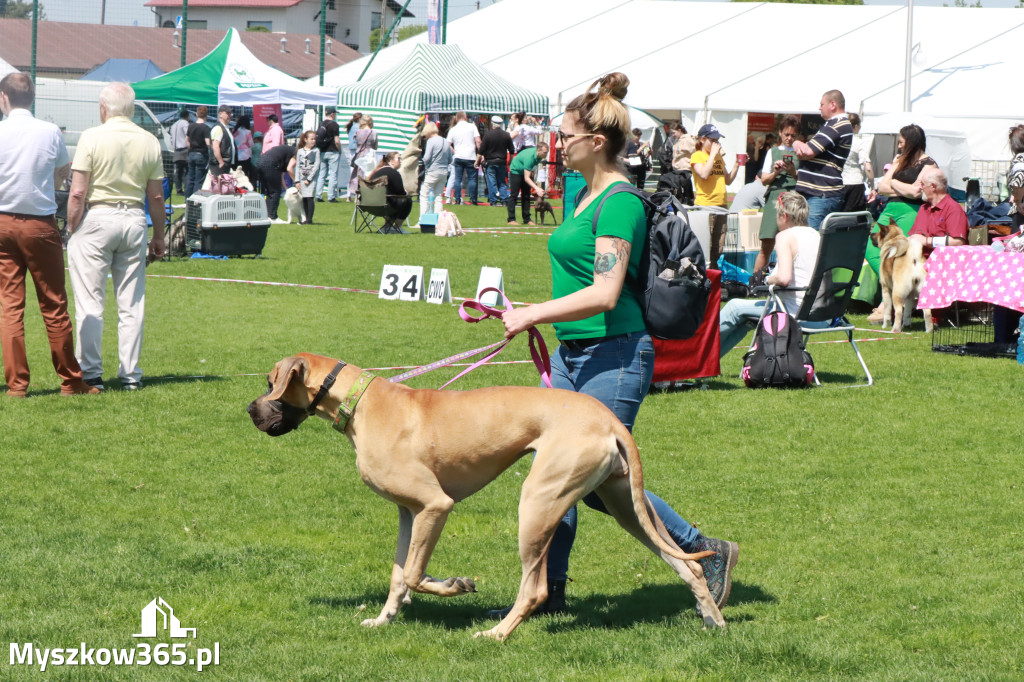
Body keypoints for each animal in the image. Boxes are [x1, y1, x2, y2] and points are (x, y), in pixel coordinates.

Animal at [247, 350, 724, 638]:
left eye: (271, 382)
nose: (249, 410)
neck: (361, 402)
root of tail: (610, 420)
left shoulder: (436, 506)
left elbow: (416, 574)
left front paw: (454, 584)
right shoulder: (409, 513)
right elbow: (400, 575)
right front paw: (383, 619)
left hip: (538, 504)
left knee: (534, 591)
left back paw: (496, 634)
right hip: (626, 504)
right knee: (687, 565)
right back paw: (713, 617)